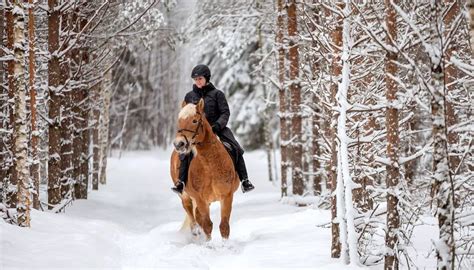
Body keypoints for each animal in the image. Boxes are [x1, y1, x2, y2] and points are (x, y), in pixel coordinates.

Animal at [169, 98, 241, 239]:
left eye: (194, 120)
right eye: (179, 120)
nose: (179, 144)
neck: (210, 166)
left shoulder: (226, 196)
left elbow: (224, 226)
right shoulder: (200, 198)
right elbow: (207, 225)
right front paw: (209, 243)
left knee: (197, 215)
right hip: (185, 195)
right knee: (189, 209)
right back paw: (195, 230)